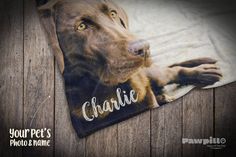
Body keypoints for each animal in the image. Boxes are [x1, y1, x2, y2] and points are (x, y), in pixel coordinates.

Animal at [37, 0, 222, 109]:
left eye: (112, 13)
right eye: (81, 26)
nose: (144, 48)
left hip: (156, 75)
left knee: (174, 70)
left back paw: (204, 73)